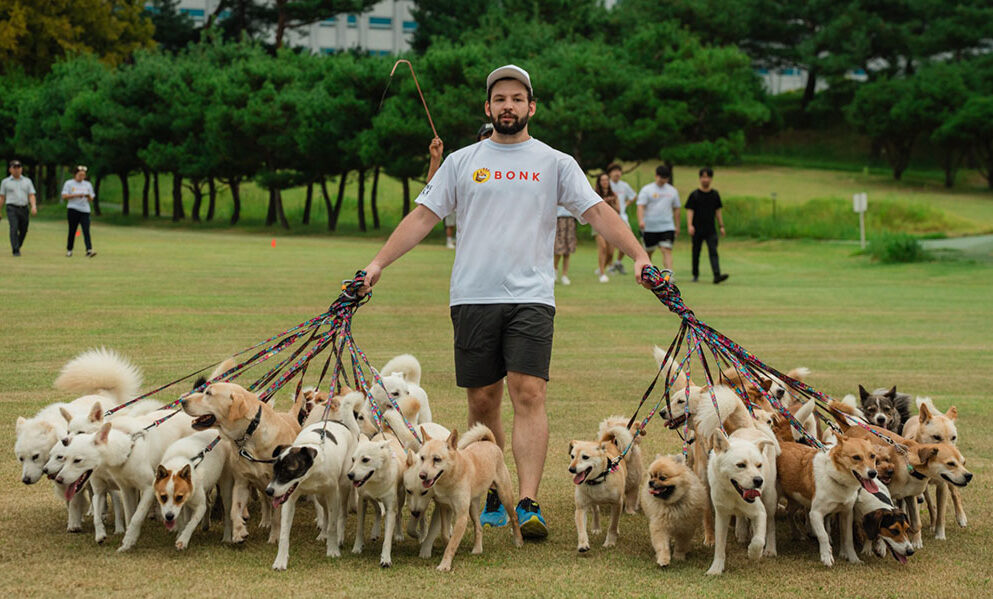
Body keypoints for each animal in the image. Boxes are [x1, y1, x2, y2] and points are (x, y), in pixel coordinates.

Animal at [178, 382, 302, 548]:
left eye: (208, 393)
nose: (182, 401)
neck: (250, 435)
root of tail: (291, 415)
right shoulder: (241, 482)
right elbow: (234, 510)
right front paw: (238, 532)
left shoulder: (279, 486)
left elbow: (277, 517)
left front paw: (275, 537)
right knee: (265, 502)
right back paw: (265, 521)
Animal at [412, 422, 524, 572]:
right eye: (422, 458)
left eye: (437, 459)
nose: (422, 475)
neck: (450, 478)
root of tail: (491, 443)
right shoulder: (445, 508)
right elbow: (445, 534)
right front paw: (451, 546)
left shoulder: (461, 515)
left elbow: (452, 543)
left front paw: (445, 564)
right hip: (473, 506)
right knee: (479, 527)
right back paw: (477, 549)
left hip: (504, 494)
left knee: (514, 517)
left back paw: (518, 541)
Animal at [564, 420, 636, 552]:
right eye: (572, 456)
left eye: (585, 457)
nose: (571, 469)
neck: (598, 480)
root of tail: (607, 443)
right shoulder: (581, 507)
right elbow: (581, 528)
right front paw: (583, 544)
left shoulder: (617, 503)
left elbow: (613, 525)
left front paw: (610, 542)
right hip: (592, 501)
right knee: (596, 510)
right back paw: (596, 527)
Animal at [704, 432, 776, 576]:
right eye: (741, 465)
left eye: (759, 465)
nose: (759, 480)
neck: (734, 494)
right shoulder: (721, 516)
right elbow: (719, 546)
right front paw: (716, 568)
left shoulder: (760, 512)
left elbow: (759, 540)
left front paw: (754, 553)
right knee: (741, 517)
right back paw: (742, 532)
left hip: (770, 498)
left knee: (770, 524)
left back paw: (770, 549)